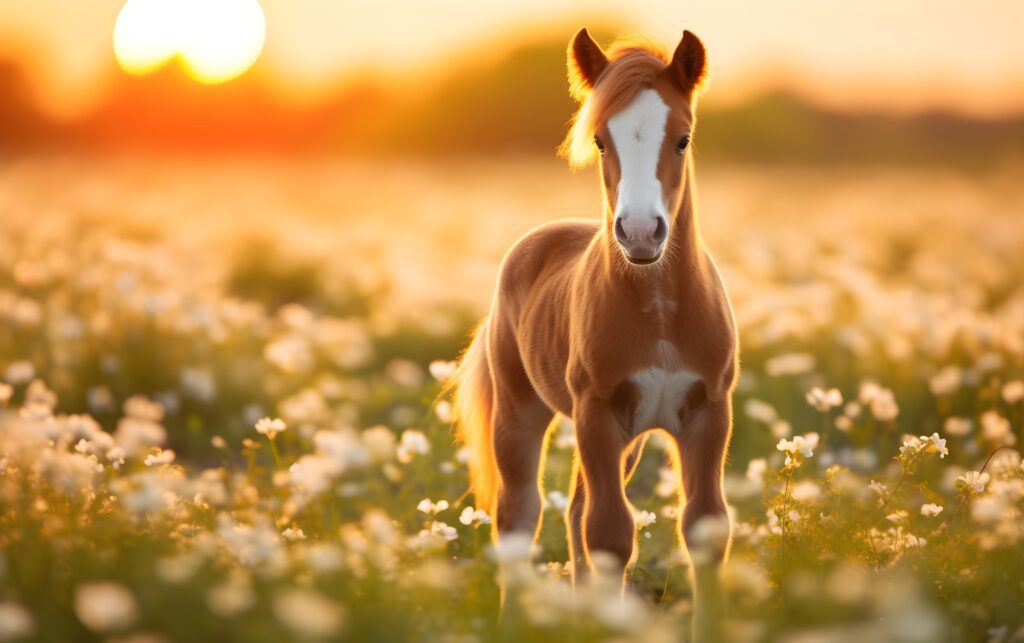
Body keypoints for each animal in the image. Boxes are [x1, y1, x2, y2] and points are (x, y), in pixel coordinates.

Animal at [450, 25, 737, 614]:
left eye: (683, 138)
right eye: (602, 140)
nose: (641, 232)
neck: (660, 315)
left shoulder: (709, 412)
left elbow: (705, 528)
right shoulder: (597, 412)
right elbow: (608, 534)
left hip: (627, 439)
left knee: (575, 508)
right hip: (521, 413)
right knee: (521, 516)